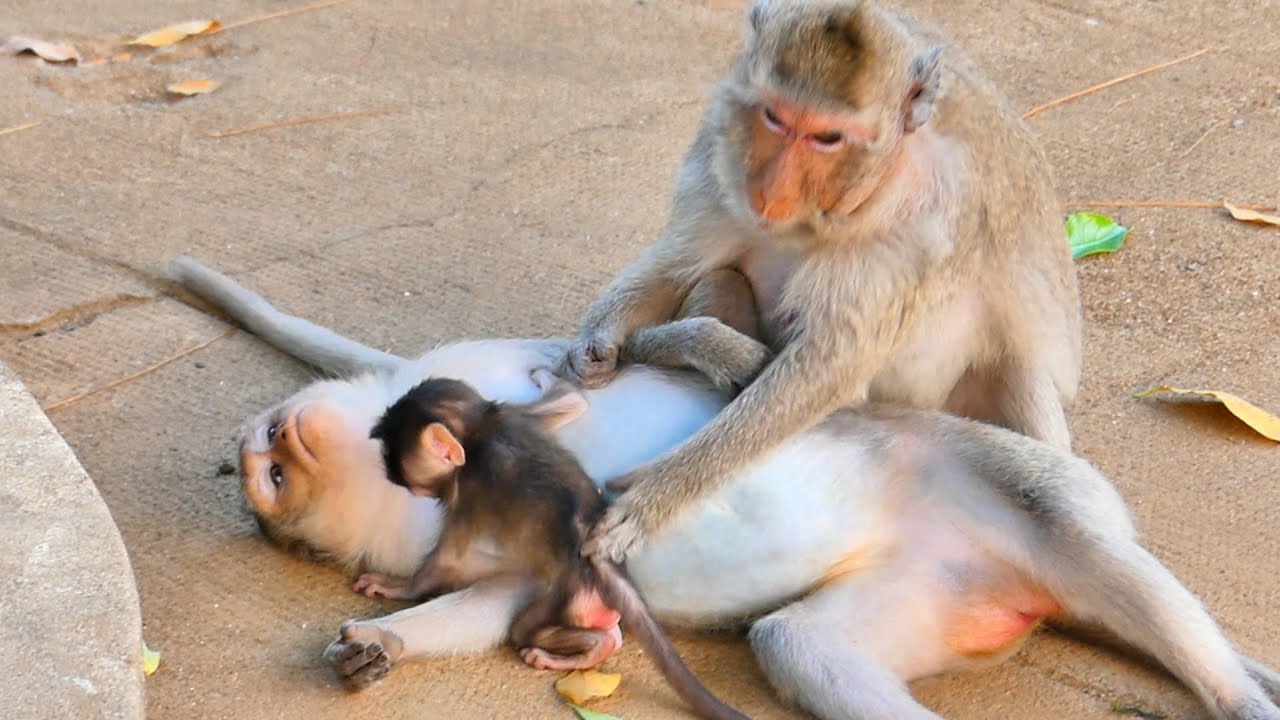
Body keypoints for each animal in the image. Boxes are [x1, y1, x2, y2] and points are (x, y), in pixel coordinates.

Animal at [355, 377, 750, 720]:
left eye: (399, 465)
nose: (392, 474)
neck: (483, 430)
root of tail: (599, 565)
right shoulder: (513, 414)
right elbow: (570, 401)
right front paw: (551, 379)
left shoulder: (469, 489)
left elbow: (450, 559)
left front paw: (396, 586)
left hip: (571, 597)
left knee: (527, 629)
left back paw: (587, 648)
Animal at [558, 0, 1083, 564]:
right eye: (775, 117)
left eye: (827, 138)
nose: (771, 191)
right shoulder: (718, 151)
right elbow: (679, 263)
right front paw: (601, 335)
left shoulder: (921, 221)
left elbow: (829, 366)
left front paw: (658, 493)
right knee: (720, 279)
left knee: (1016, 371)